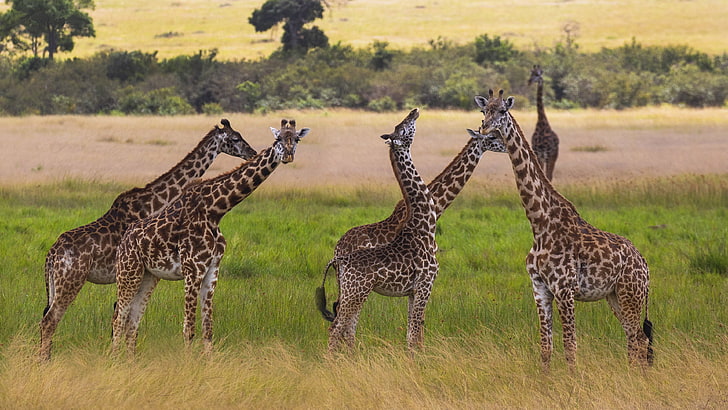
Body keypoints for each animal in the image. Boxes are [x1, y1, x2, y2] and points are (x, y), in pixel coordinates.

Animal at [39, 119, 258, 362]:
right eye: (235, 138)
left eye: (241, 134)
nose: (252, 153)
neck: (156, 202)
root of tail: (51, 255)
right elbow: (122, 317)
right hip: (71, 280)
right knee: (50, 320)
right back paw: (45, 362)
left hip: (57, 283)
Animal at [111, 119, 308, 356]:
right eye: (278, 138)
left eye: (296, 139)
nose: (287, 155)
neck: (215, 211)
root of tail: (124, 240)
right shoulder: (193, 270)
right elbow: (188, 328)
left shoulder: (212, 270)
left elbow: (208, 329)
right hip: (128, 272)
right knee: (119, 317)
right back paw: (113, 359)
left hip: (149, 276)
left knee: (132, 319)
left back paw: (131, 361)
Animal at [314, 109, 438, 352]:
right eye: (402, 127)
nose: (414, 111)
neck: (426, 226)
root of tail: (337, 260)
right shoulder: (425, 284)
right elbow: (415, 332)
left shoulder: (412, 291)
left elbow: (412, 332)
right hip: (356, 292)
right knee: (336, 328)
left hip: (352, 292)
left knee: (348, 328)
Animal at [474, 90, 652, 372]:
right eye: (484, 111)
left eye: (502, 111)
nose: (485, 128)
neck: (539, 224)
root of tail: (645, 266)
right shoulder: (540, 289)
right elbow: (546, 347)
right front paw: (545, 381)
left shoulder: (564, 289)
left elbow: (570, 346)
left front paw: (573, 382)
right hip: (614, 296)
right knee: (633, 338)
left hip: (630, 293)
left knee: (640, 340)